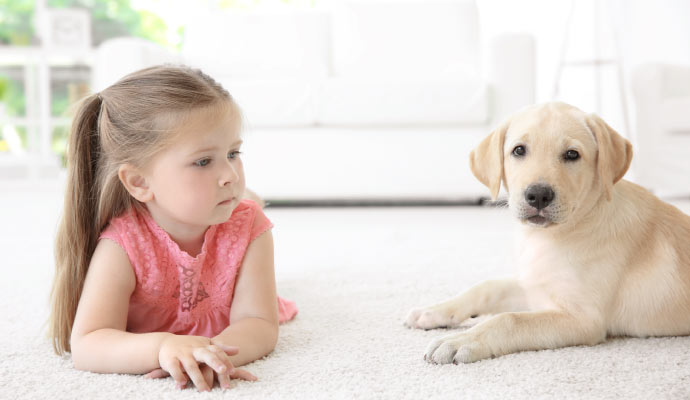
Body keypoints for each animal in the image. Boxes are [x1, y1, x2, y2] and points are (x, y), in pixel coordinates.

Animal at [404, 101, 688, 364]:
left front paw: (461, 340)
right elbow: (486, 287)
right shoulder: (534, 287)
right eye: (519, 150)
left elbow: (508, 320)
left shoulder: (583, 318)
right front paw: (434, 311)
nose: (538, 195)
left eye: (572, 154)